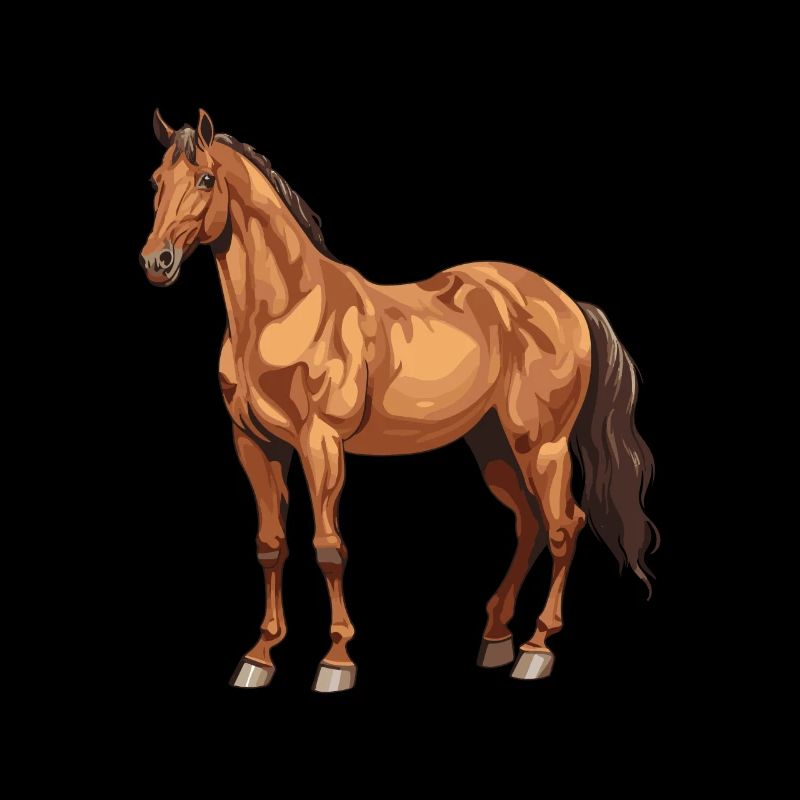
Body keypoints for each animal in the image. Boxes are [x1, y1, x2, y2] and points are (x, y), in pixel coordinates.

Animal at [140, 109, 658, 692]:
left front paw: (336, 661)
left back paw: (535, 649)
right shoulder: (256, 444)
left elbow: (329, 548)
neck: (289, 310)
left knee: (564, 524)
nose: (156, 261)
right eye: (156, 182)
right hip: (491, 443)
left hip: (541, 445)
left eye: (206, 179)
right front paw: (259, 657)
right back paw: (495, 638)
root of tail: (569, 303)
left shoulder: (321, 444)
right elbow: (270, 544)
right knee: (528, 524)